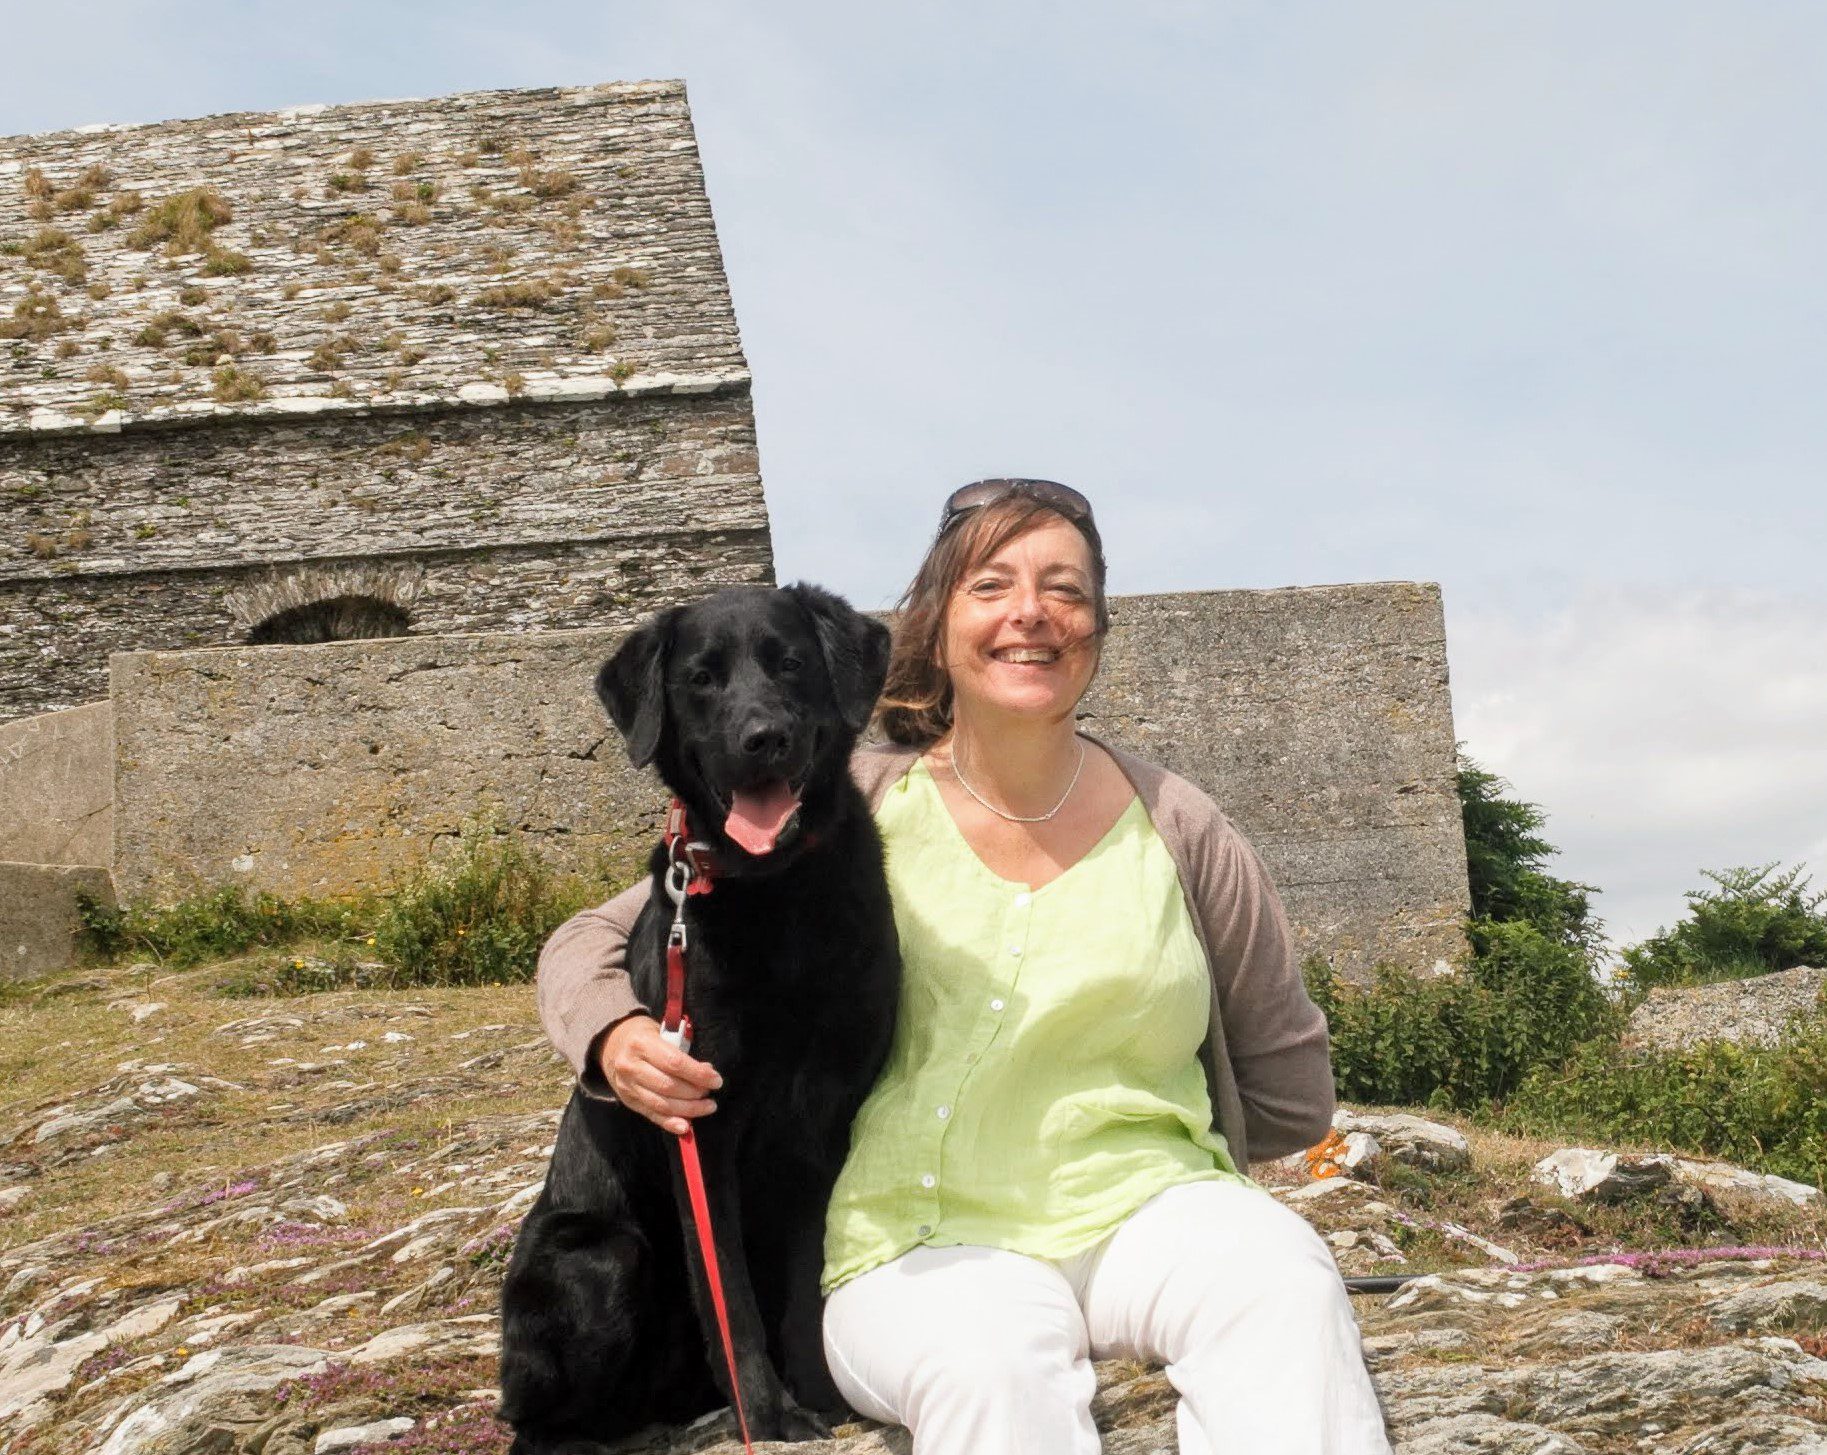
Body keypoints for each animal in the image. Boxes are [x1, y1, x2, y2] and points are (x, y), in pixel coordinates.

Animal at [500, 584, 898, 1447]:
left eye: (790, 663)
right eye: (701, 679)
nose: (763, 739)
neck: (776, 890)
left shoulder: (823, 1127)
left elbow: (805, 1289)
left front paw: (819, 1395)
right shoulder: (701, 1127)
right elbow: (734, 1304)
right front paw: (767, 1413)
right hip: (599, 1254)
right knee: (528, 1421)